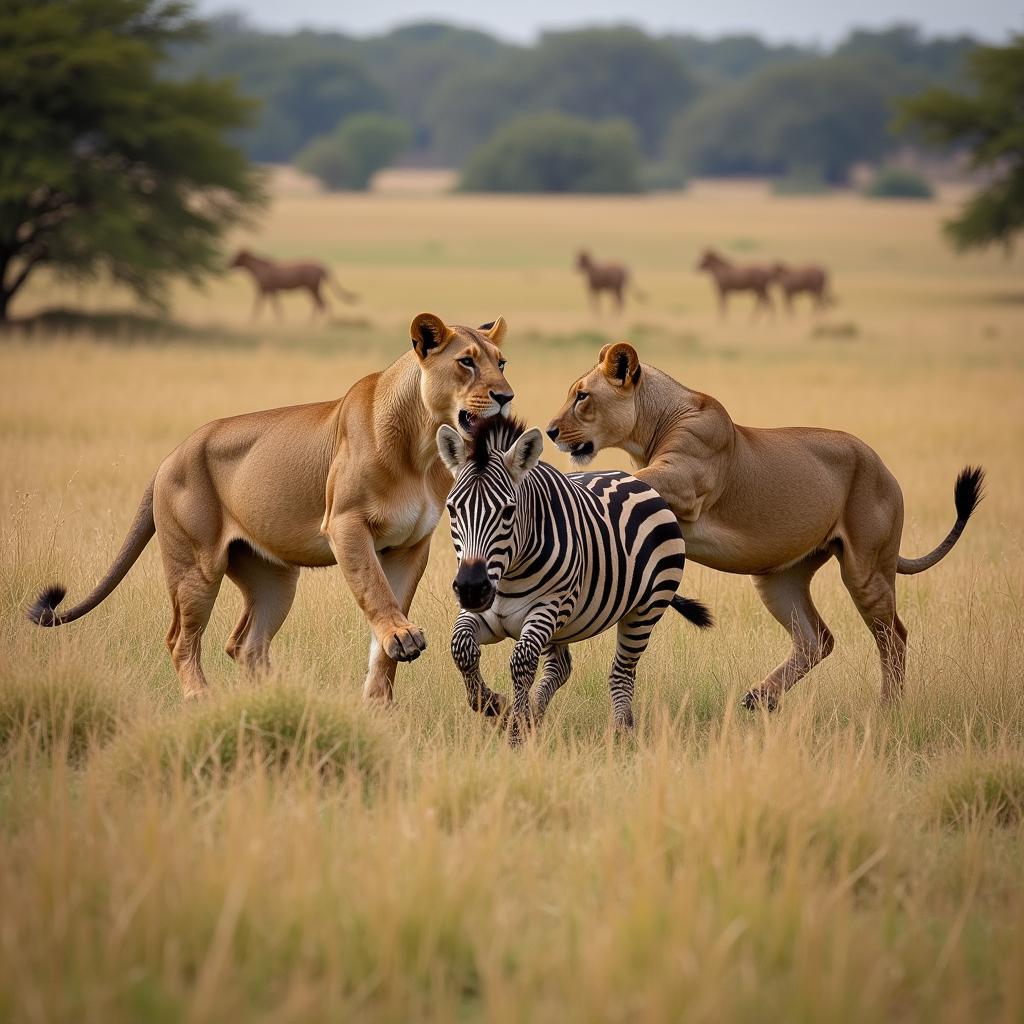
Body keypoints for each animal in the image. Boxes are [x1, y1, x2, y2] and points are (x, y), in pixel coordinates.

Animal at [230, 248, 358, 319]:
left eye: (238, 256)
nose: (229, 264)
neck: (257, 267)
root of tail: (322, 266)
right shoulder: (271, 290)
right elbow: (275, 306)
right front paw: (280, 319)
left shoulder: (264, 290)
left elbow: (259, 306)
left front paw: (251, 320)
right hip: (312, 288)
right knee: (322, 303)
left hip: (312, 288)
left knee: (321, 303)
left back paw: (314, 323)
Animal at [436, 415, 716, 745]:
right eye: (452, 509)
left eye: (508, 511)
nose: (470, 588)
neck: (507, 577)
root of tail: (634, 479)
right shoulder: (485, 612)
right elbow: (462, 648)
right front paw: (498, 707)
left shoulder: (549, 607)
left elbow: (521, 662)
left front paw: (515, 732)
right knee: (561, 668)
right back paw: (535, 716)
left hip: (644, 611)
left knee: (621, 672)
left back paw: (621, 733)